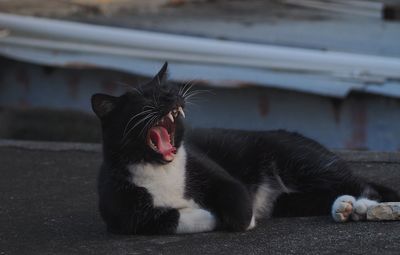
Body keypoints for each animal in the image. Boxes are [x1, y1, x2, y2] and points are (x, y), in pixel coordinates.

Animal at [91, 62, 400, 234]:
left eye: (169, 89)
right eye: (148, 100)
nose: (174, 96)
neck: (160, 168)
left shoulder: (209, 168)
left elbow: (235, 194)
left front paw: (240, 219)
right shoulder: (124, 214)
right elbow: (166, 219)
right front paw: (208, 216)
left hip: (300, 160)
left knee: (363, 184)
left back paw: (361, 206)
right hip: (291, 198)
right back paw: (343, 207)